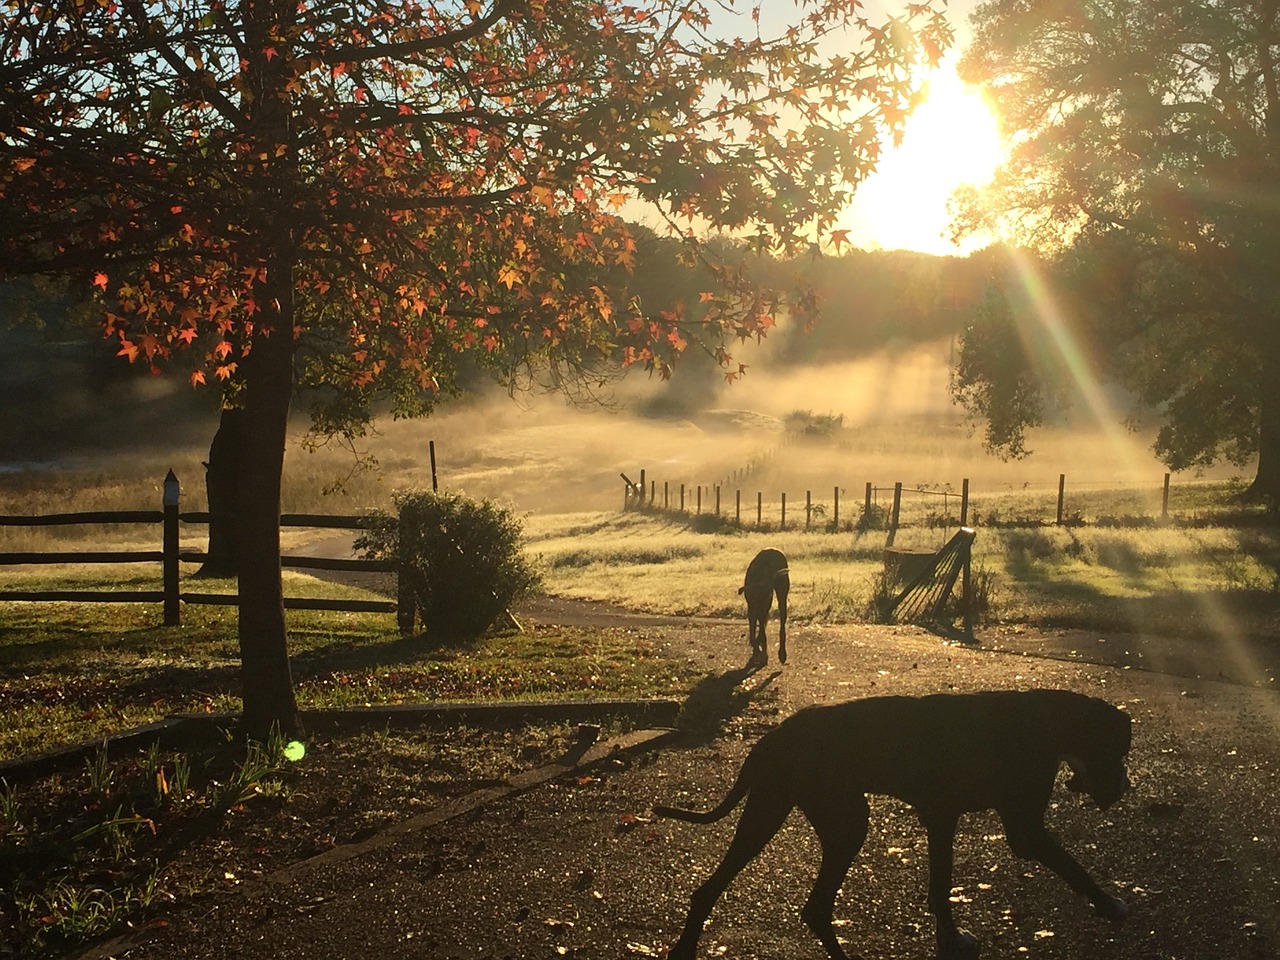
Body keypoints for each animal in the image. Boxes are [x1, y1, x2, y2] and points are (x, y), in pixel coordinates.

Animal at [660, 691, 1131, 960]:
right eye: (1121, 750)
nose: (1125, 787)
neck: (1045, 719)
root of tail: (772, 736)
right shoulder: (1024, 830)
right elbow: (1076, 869)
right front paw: (1110, 905)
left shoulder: (941, 819)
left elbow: (941, 886)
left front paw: (950, 937)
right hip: (816, 819)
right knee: (779, 899)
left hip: (800, 815)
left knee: (801, 905)